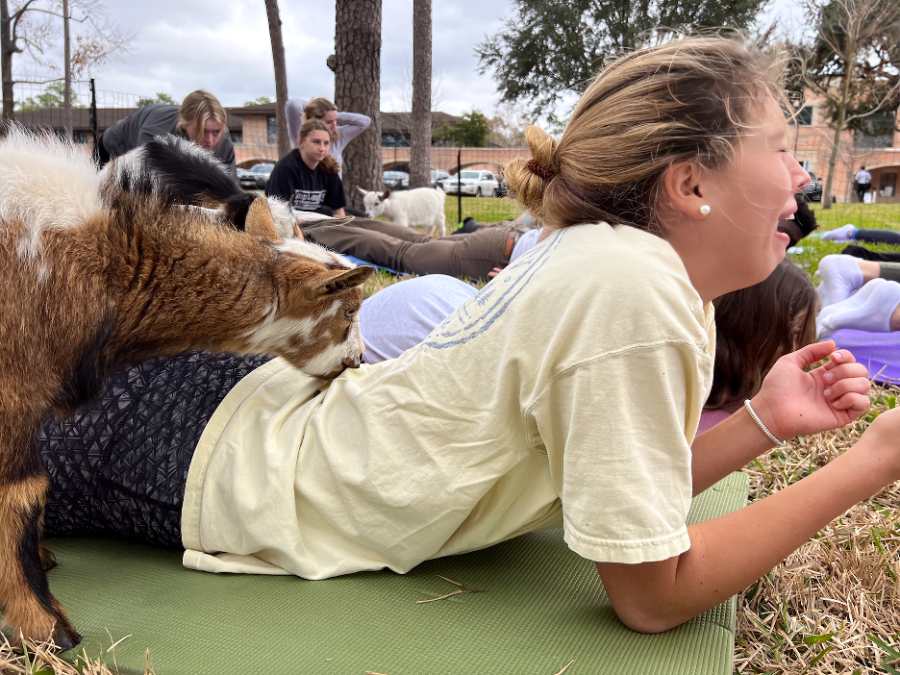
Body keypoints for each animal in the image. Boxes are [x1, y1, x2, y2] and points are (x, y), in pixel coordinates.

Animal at [0, 128, 372, 648]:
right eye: (351, 309)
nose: (357, 360)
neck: (110, 259)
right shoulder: (14, 386)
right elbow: (22, 494)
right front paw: (47, 627)